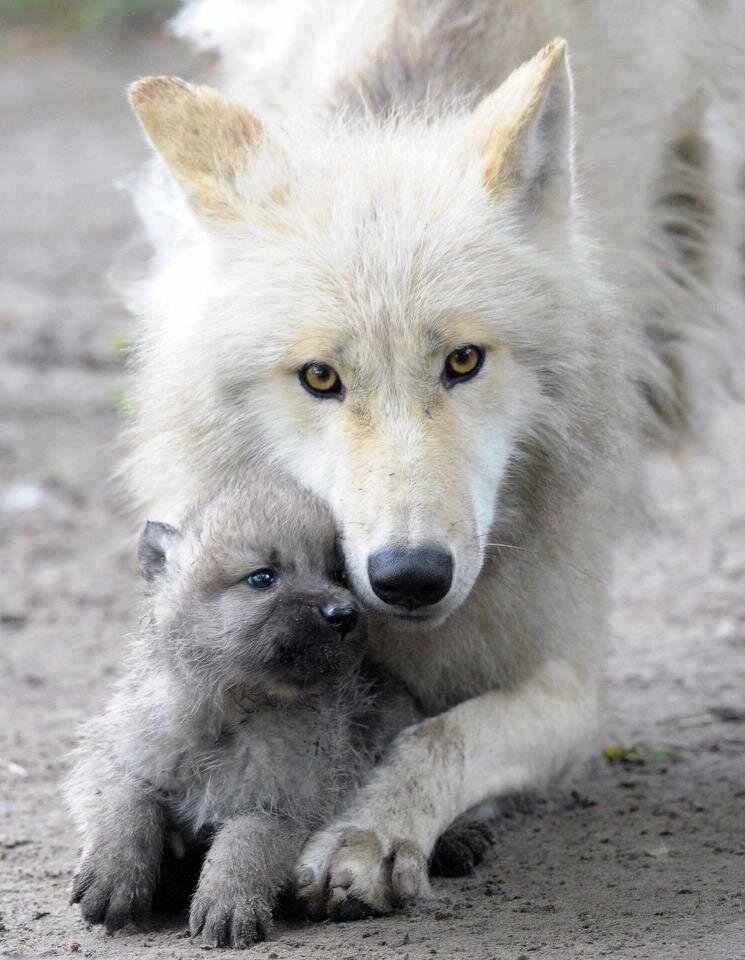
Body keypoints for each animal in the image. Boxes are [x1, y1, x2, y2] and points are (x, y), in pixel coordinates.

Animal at [123, 1, 744, 916]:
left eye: (463, 361)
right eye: (320, 377)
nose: (410, 577)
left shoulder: (568, 677)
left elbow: (439, 736)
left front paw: (368, 830)